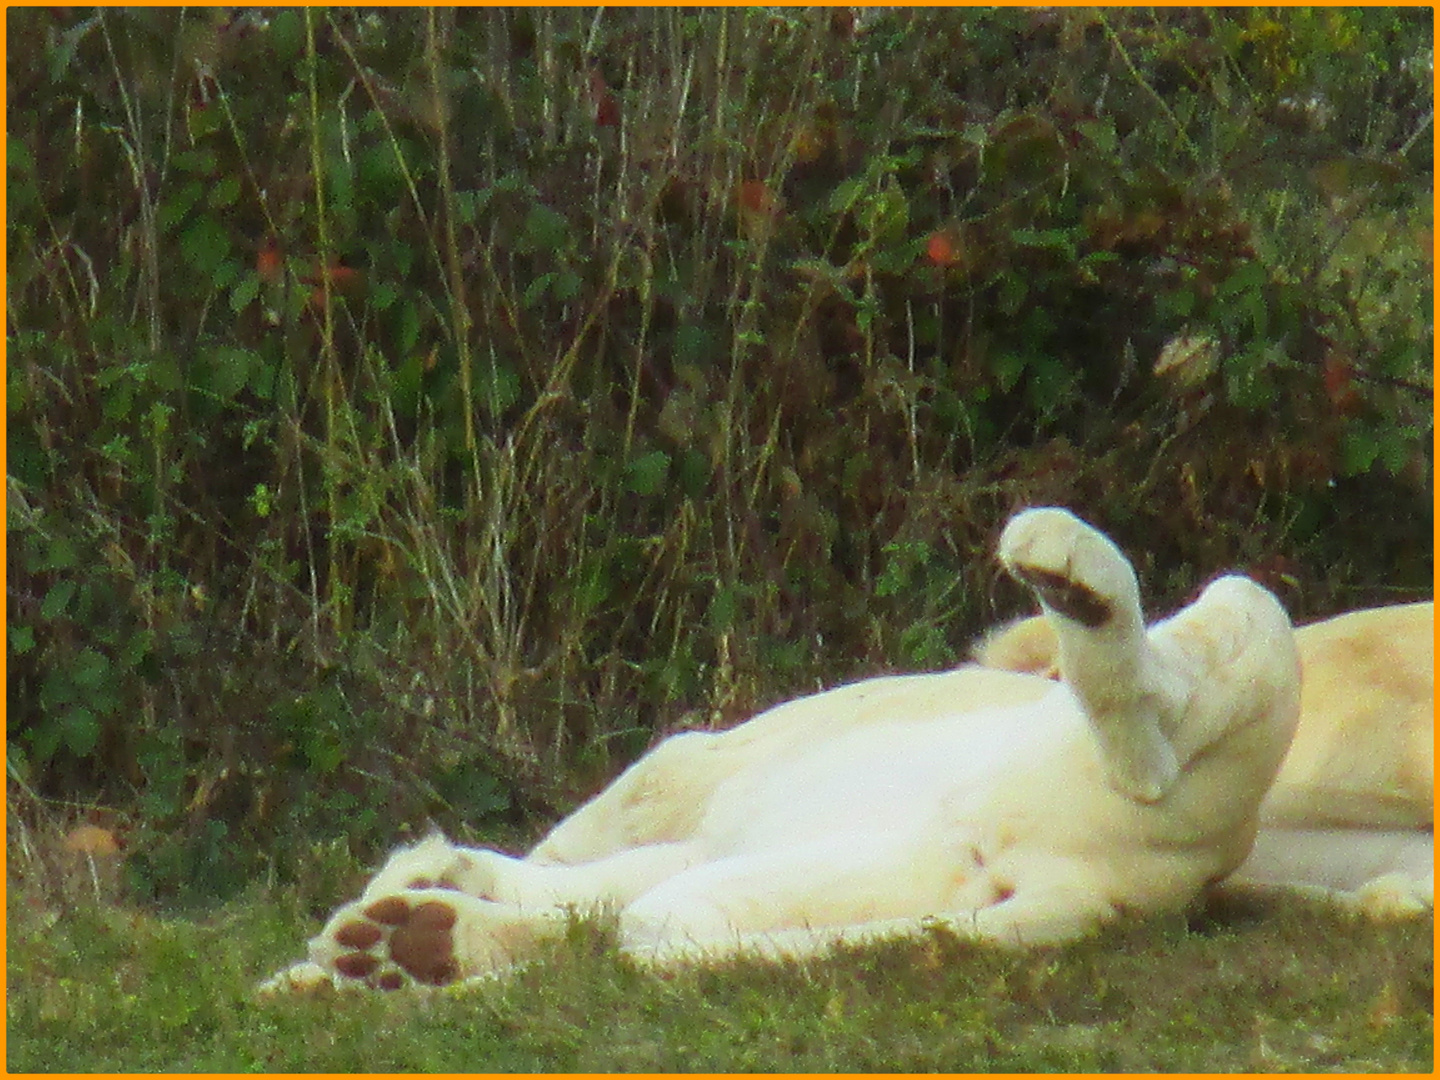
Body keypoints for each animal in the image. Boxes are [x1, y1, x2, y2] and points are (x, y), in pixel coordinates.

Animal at [259, 512, 1307, 996]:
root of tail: (1099, 892)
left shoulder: (681, 791)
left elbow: (575, 884)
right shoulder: (707, 839)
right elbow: (580, 899)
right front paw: (387, 935)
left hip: (1238, 633)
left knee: (1155, 729)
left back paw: (1069, 573)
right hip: (840, 885)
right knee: (639, 928)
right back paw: (404, 943)